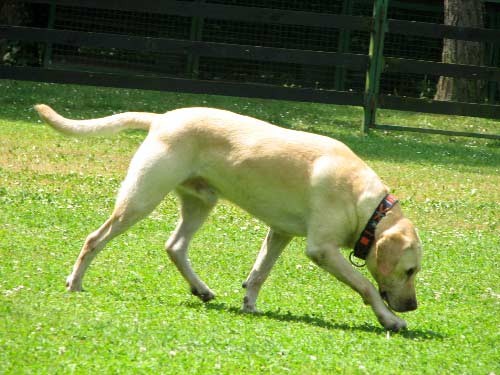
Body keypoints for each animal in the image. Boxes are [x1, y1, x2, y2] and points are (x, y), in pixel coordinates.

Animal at [34, 105, 422, 332]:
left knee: (174, 246)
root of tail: (162, 118)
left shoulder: (279, 233)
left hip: (200, 202)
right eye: (410, 270)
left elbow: (260, 272)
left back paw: (201, 289)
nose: (414, 306)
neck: (371, 209)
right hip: (140, 200)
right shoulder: (322, 250)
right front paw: (390, 319)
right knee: (94, 239)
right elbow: (366, 286)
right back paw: (75, 282)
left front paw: (249, 302)